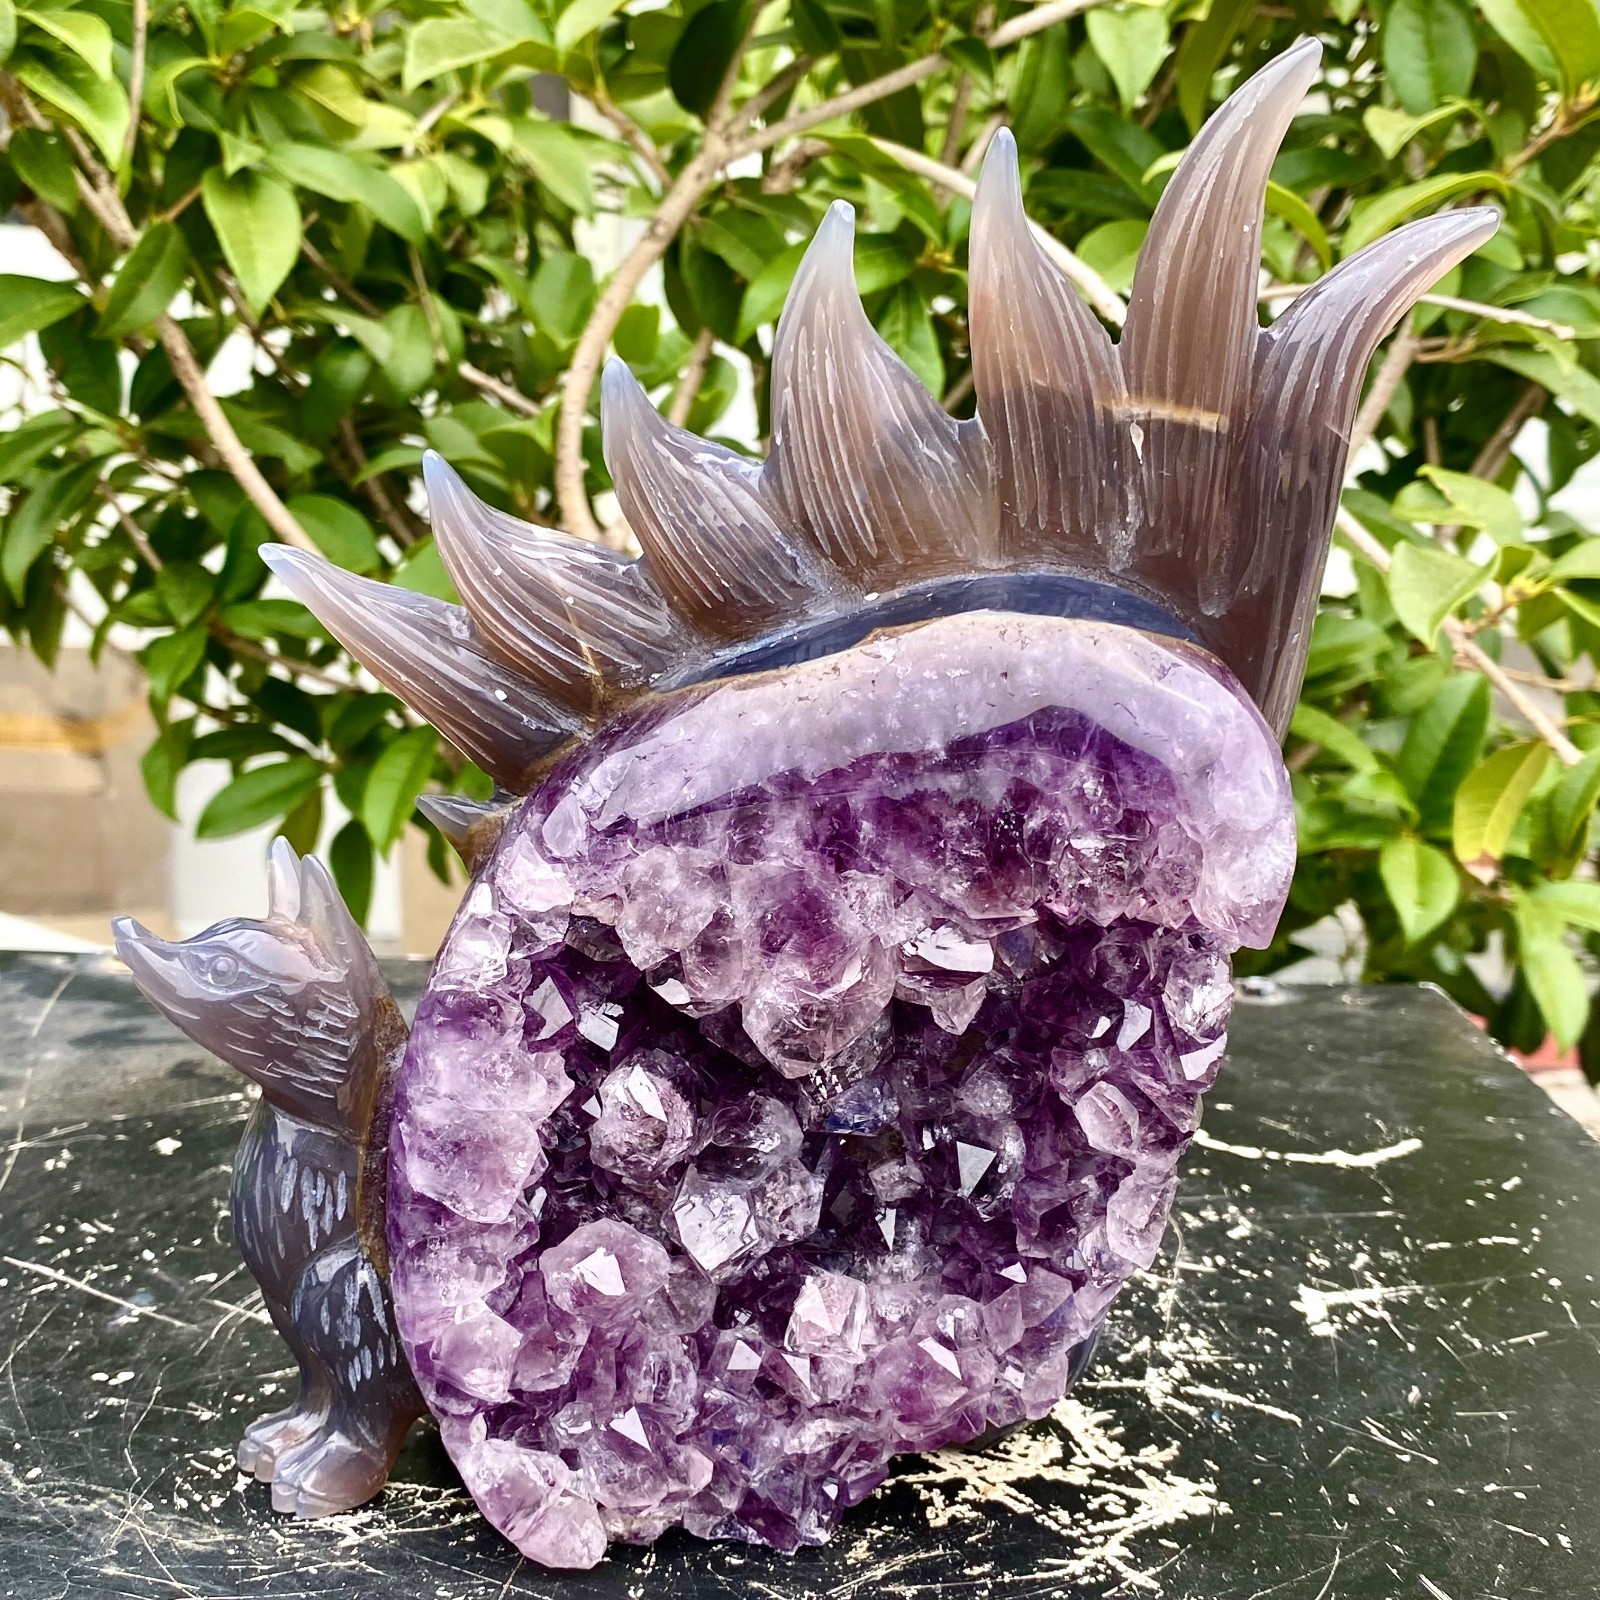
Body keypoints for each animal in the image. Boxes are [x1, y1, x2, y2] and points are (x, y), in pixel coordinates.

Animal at [114, 840, 423, 1517]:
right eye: (204, 934)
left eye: (221, 968)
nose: (126, 931)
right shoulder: (284, 1309)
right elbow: (314, 1387)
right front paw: (279, 1443)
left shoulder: (353, 1308)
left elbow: (365, 1410)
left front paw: (327, 1477)